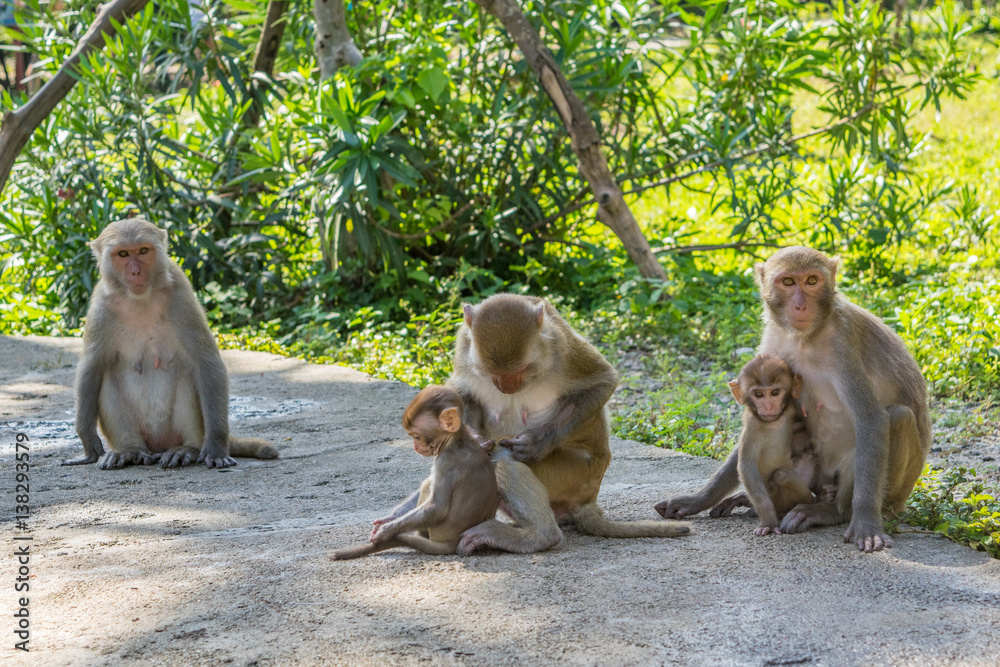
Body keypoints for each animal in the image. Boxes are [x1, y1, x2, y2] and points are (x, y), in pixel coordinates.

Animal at [64, 218, 278, 470]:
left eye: (143, 251)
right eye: (123, 254)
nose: (135, 272)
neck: (140, 299)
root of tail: (158, 446)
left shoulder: (181, 295)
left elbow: (207, 363)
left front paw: (216, 446)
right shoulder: (101, 306)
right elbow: (92, 367)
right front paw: (87, 439)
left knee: (189, 377)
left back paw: (187, 450)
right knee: (107, 379)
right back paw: (128, 451)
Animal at [331, 385, 499, 559]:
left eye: (417, 437)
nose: (415, 447)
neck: (457, 439)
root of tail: (452, 544)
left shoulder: (445, 461)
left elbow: (436, 508)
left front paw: (385, 531)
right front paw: (387, 520)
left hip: (437, 532)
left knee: (427, 486)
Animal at [448, 294, 689, 555]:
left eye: (521, 369)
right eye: (492, 372)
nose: (507, 387)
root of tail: (588, 500)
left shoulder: (562, 348)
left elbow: (604, 381)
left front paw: (536, 443)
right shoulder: (463, 346)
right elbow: (464, 395)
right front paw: (476, 440)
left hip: (574, 472)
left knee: (501, 459)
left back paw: (539, 536)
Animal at [654, 246, 930, 552]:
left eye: (811, 281)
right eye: (788, 282)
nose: (800, 306)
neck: (805, 337)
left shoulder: (844, 344)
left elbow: (872, 420)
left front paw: (866, 524)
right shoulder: (774, 343)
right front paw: (699, 499)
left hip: (890, 496)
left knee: (897, 417)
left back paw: (832, 511)